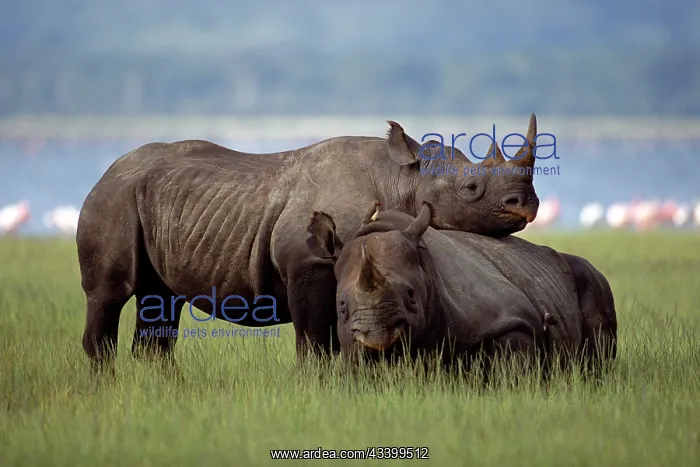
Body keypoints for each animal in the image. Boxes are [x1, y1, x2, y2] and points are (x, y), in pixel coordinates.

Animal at [77, 115, 541, 369]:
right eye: (471, 188)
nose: (527, 205)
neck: (402, 179)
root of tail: (105, 171)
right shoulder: (308, 263)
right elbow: (316, 341)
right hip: (113, 198)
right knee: (109, 293)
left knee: (160, 299)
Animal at [305, 200, 617, 378]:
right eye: (341, 307)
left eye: (411, 296)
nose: (378, 337)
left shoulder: (511, 321)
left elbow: (511, 374)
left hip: (590, 277)